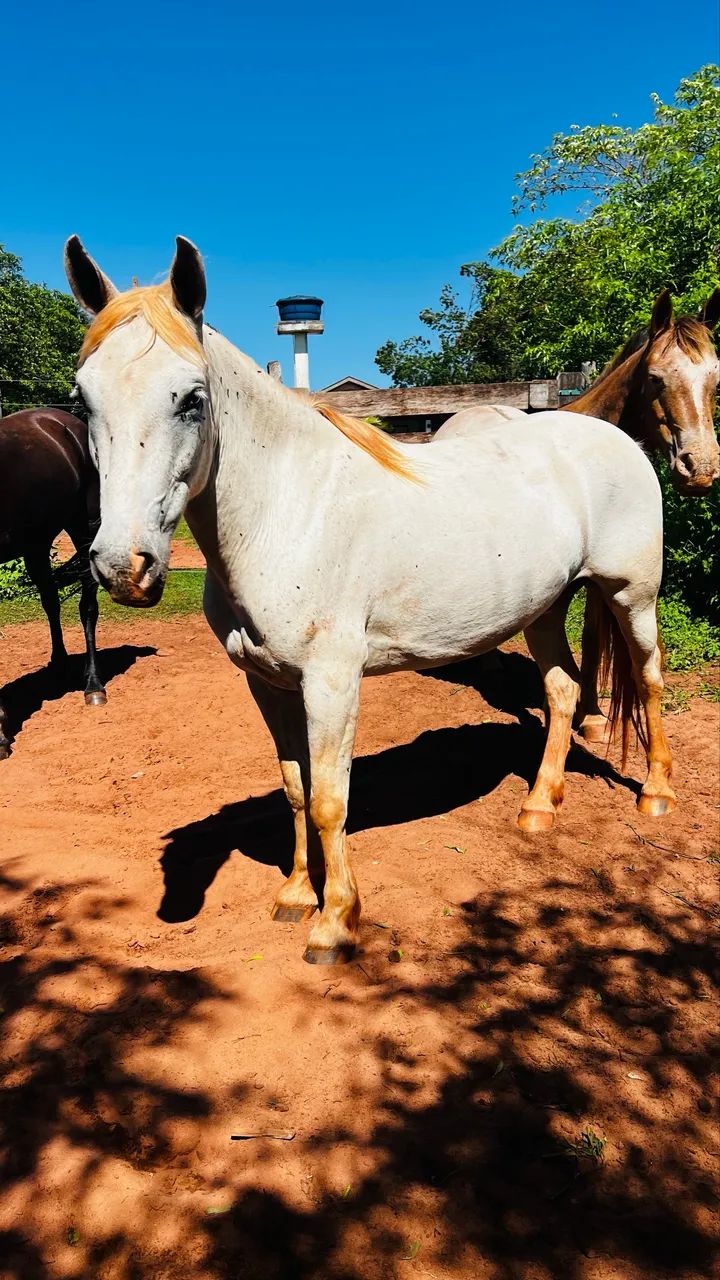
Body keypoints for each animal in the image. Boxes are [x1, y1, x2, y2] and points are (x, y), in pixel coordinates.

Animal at [0, 407, 106, 757]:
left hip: (84, 526)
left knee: (88, 607)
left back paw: (93, 685)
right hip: (36, 544)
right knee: (50, 601)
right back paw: (59, 667)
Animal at [64, 234, 675, 965]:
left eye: (191, 399)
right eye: (83, 401)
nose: (122, 567)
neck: (287, 511)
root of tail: (619, 439)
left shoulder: (332, 681)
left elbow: (331, 799)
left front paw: (335, 923)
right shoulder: (268, 682)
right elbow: (295, 789)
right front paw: (296, 895)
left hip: (631, 595)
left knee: (647, 679)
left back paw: (657, 796)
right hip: (547, 608)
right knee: (561, 692)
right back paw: (538, 807)